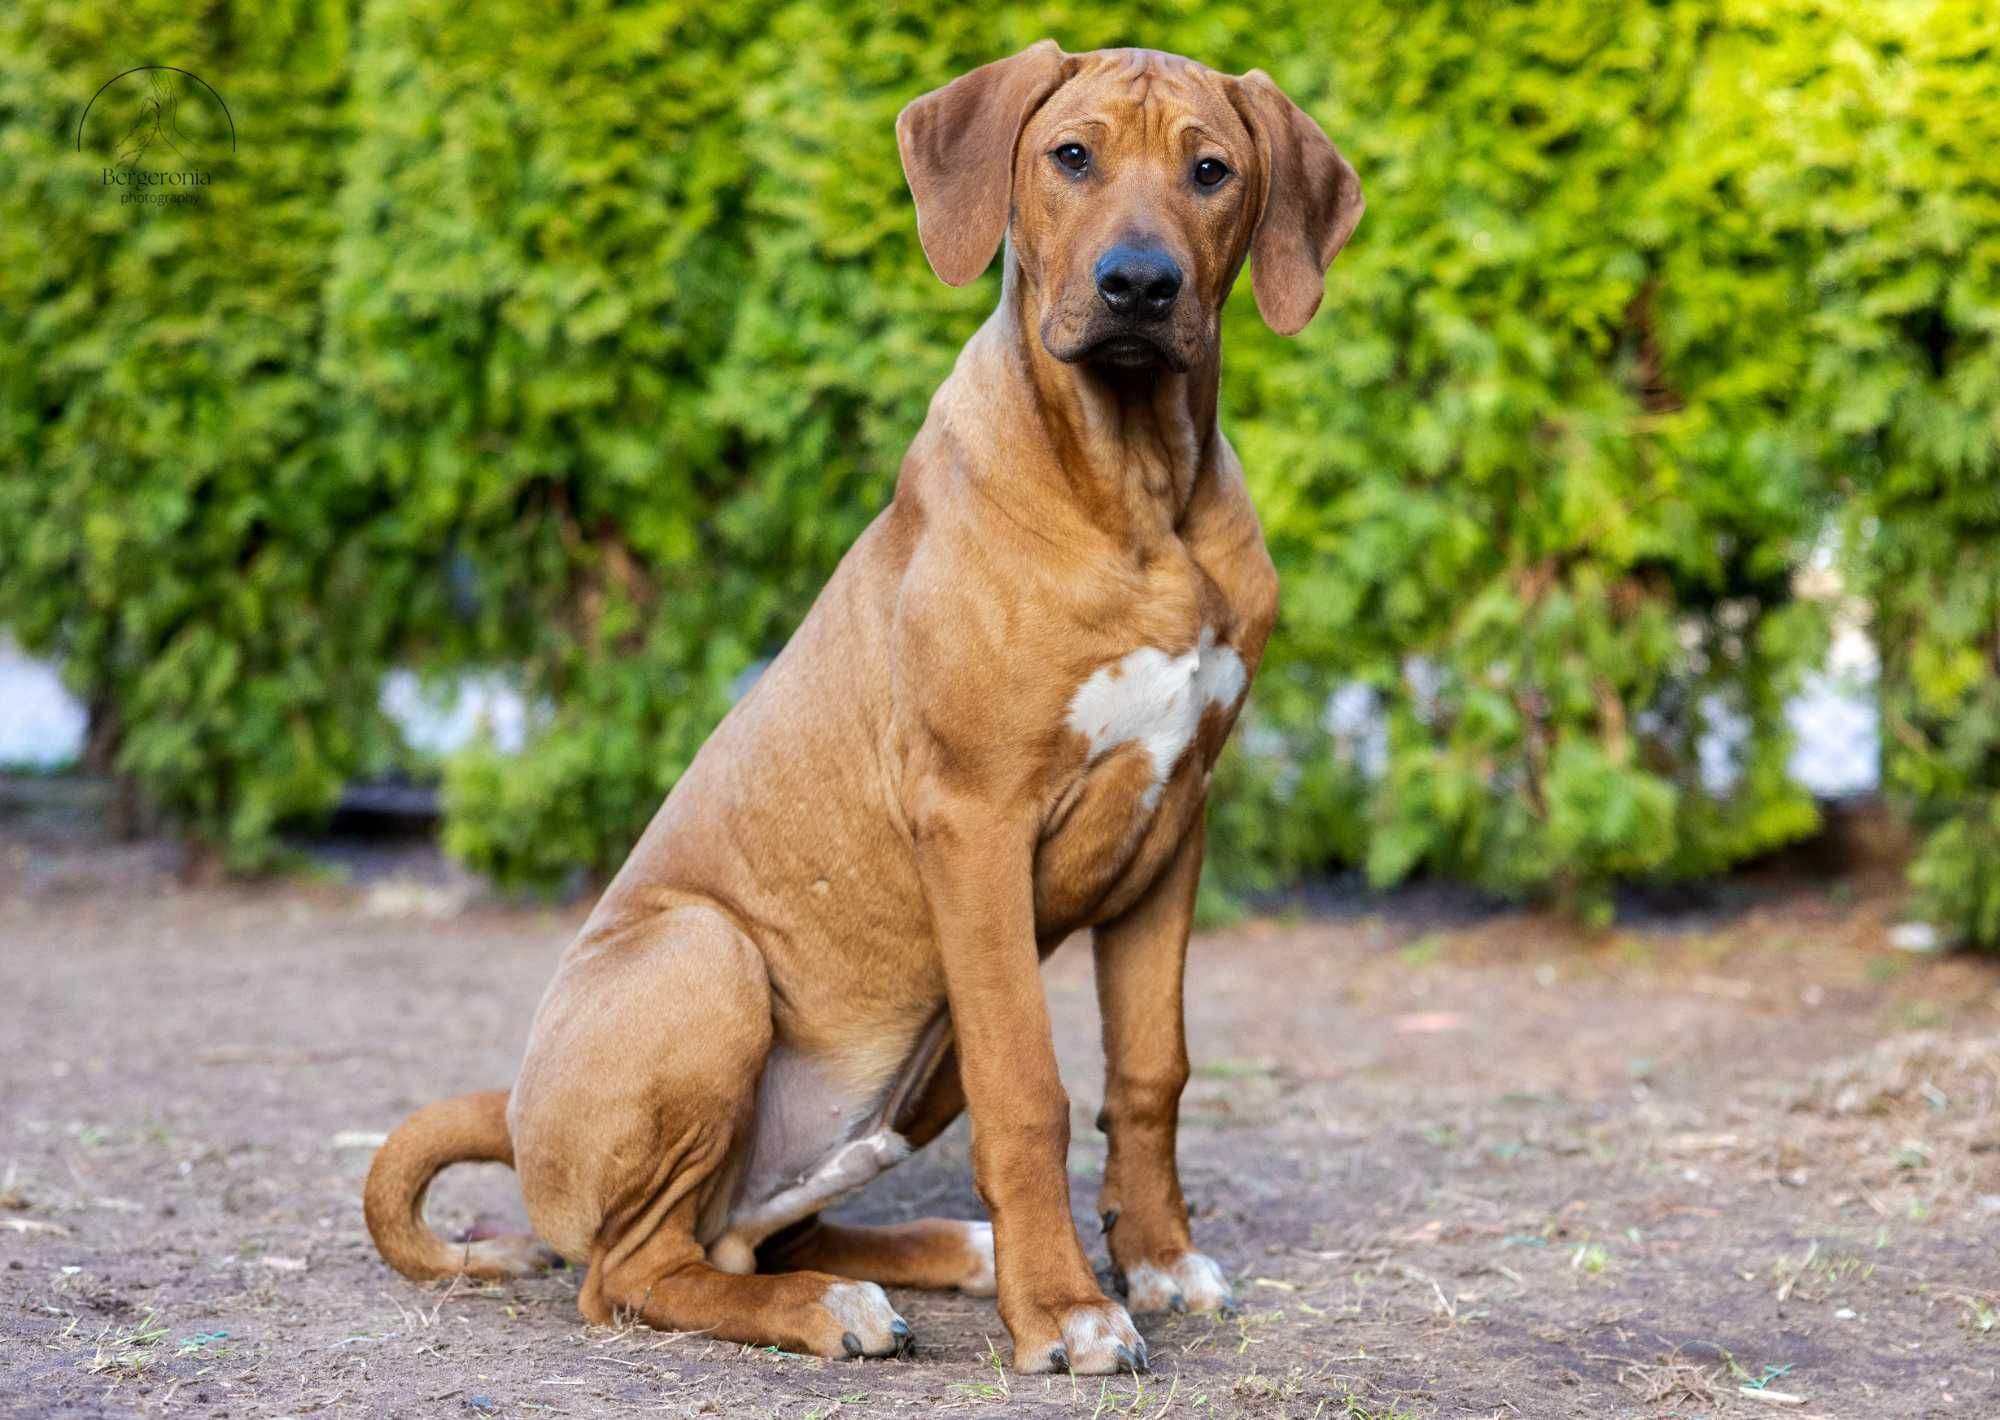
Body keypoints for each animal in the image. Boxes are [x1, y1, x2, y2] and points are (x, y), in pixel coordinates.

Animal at [364, 41, 1360, 1376]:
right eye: (1071, 156)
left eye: (1211, 172)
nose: (1139, 287)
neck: (1137, 485)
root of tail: (518, 1111)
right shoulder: (974, 821)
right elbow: (1030, 1088)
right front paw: (1065, 1311)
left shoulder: (1174, 823)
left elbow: (1151, 1070)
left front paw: (1154, 1261)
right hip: (711, 956)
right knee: (633, 1271)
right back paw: (832, 1305)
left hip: (897, 1072)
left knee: (752, 1229)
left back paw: (933, 1253)